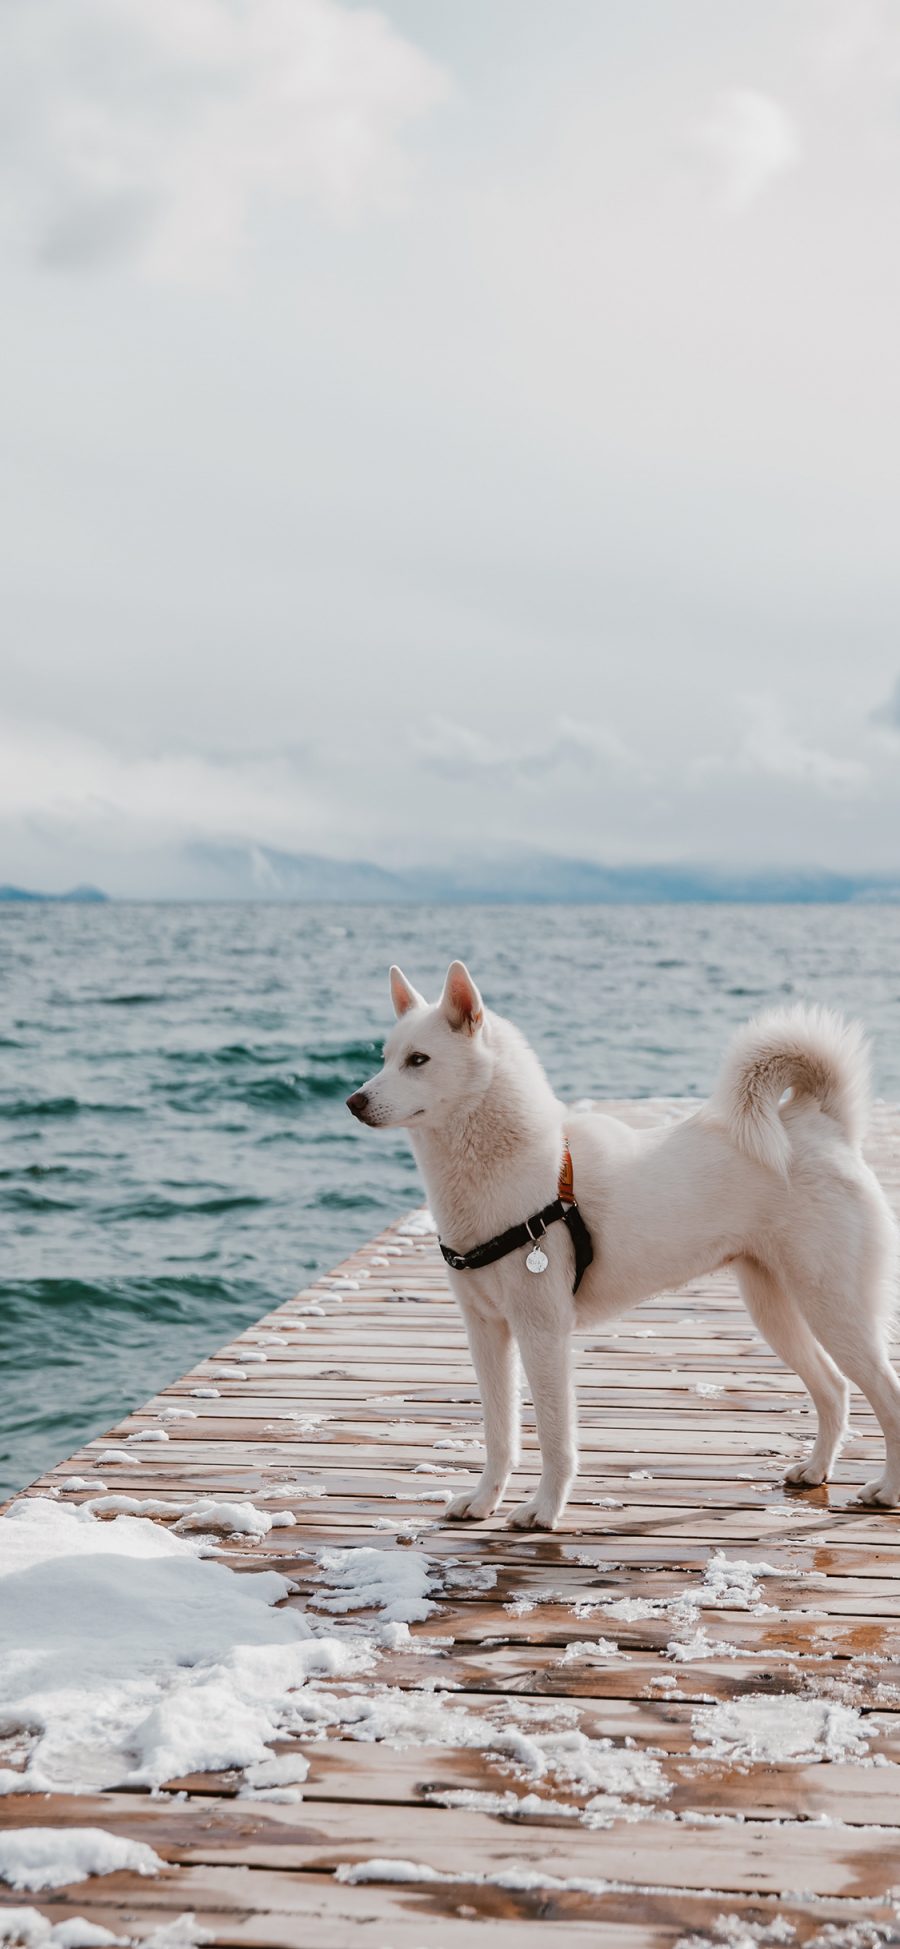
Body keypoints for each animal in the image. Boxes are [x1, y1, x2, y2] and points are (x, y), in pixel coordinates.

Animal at [346, 966, 900, 1528]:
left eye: (419, 1060)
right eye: (385, 1058)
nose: (354, 1102)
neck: (511, 1167)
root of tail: (822, 1123)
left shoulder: (543, 1333)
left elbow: (554, 1438)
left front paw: (544, 1510)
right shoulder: (485, 1332)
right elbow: (499, 1434)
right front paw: (483, 1502)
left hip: (833, 1308)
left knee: (886, 1394)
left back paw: (886, 1489)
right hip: (775, 1310)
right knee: (834, 1388)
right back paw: (815, 1470)